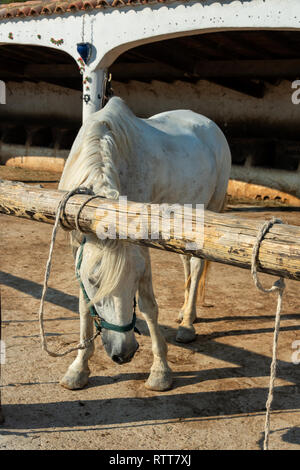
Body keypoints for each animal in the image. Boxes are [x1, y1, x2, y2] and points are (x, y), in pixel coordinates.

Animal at [59, 97, 232, 392]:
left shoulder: (140, 247)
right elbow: (83, 305)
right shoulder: (76, 247)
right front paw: (78, 369)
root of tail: (208, 123)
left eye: (136, 280)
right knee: (187, 265)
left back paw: (187, 325)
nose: (124, 352)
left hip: (209, 214)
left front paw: (160, 371)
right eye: (94, 281)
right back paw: (185, 313)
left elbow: (149, 306)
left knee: (197, 267)